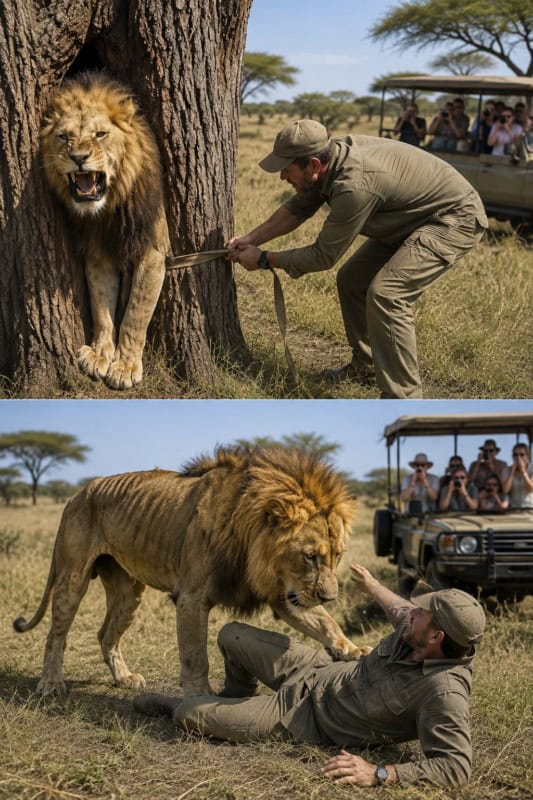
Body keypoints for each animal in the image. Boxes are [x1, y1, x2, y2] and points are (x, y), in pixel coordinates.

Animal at [13, 447, 369, 697]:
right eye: (310, 557)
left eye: (338, 556)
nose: (331, 596)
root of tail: (77, 493)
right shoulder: (192, 597)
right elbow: (196, 654)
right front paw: (199, 695)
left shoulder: (284, 593)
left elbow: (324, 621)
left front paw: (351, 649)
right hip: (72, 576)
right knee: (55, 634)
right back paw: (50, 683)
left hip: (128, 592)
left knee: (106, 635)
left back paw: (124, 678)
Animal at [41, 72, 169, 390]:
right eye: (64, 137)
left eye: (100, 134)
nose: (79, 157)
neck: (108, 210)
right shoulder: (97, 253)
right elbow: (101, 307)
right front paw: (100, 355)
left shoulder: (153, 250)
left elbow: (135, 314)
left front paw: (124, 366)